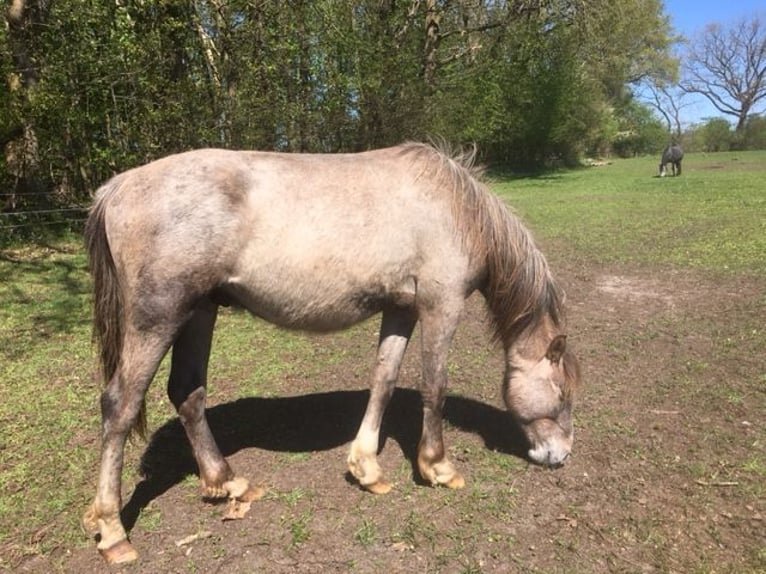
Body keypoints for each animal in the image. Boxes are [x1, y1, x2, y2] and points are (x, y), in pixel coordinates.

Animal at [83, 142, 581, 564]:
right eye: (563, 395)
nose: (559, 456)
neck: (456, 208)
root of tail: (116, 188)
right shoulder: (442, 305)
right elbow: (435, 387)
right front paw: (438, 467)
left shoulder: (401, 308)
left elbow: (384, 379)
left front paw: (367, 469)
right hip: (160, 316)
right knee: (120, 406)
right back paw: (113, 532)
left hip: (200, 310)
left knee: (187, 393)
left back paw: (227, 482)